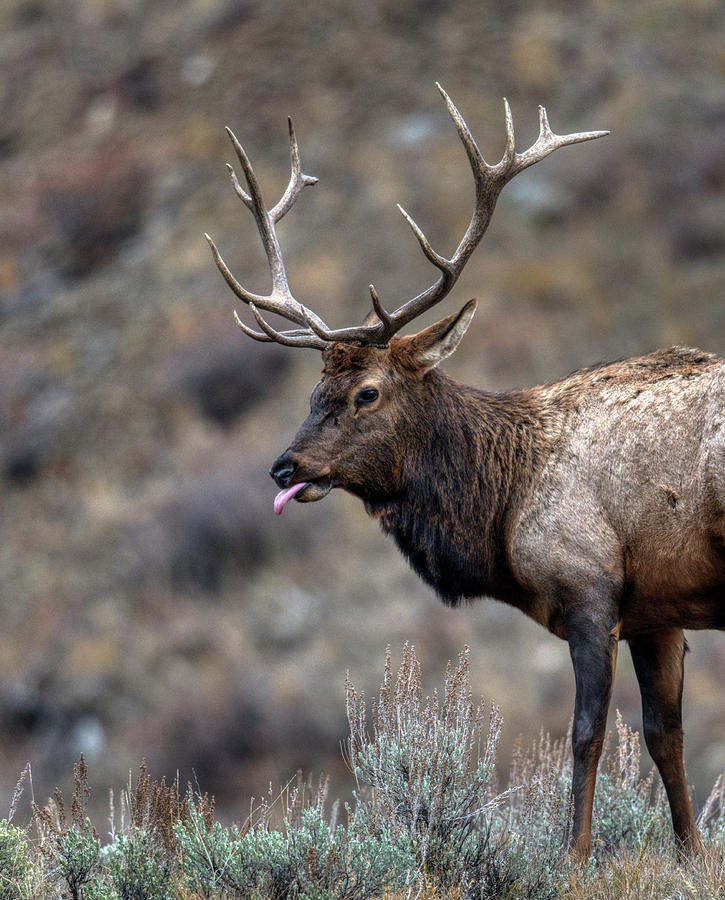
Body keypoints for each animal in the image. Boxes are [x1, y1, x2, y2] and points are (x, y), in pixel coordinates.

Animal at [205, 88, 720, 860]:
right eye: (312, 392)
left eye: (367, 393)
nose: (282, 466)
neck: (501, 506)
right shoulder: (656, 610)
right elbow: (666, 738)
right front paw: (689, 854)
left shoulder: (589, 588)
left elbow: (587, 736)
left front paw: (572, 859)